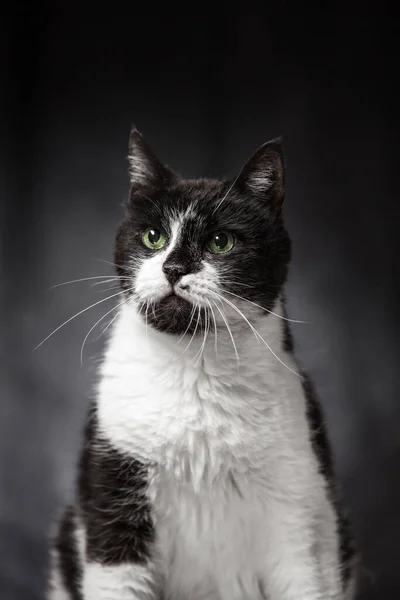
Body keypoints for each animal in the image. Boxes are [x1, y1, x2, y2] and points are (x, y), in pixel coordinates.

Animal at [48, 129, 358, 596]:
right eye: (153, 237)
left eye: (220, 242)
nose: (174, 268)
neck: (194, 367)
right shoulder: (114, 489)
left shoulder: (299, 511)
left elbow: (303, 573)